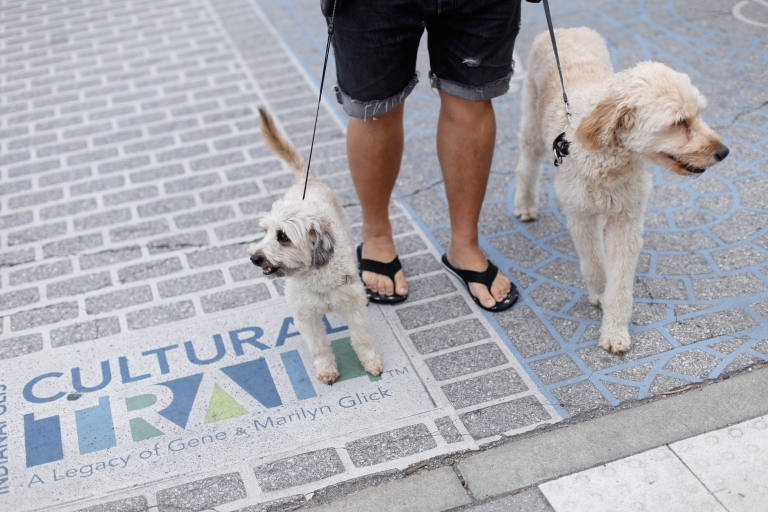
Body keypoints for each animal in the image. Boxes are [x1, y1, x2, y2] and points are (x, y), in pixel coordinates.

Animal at [249, 106, 384, 382]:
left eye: (283, 236)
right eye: (265, 232)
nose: (254, 258)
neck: (316, 274)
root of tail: (306, 179)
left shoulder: (353, 310)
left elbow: (363, 339)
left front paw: (371, 363)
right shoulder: (306, 317)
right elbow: (319, 346)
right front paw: (326, 369)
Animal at [512, 28, 728, 354]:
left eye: (699, 114)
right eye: (679, 122)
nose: (724, 152)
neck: (610, 160)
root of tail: (567, 29)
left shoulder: (627, 218)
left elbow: (621, 282)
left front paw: (614, 331)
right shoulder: (580, 214)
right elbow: (593, 261)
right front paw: (600, 292)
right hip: (532, 122)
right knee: (527, 163)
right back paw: (525, 204)